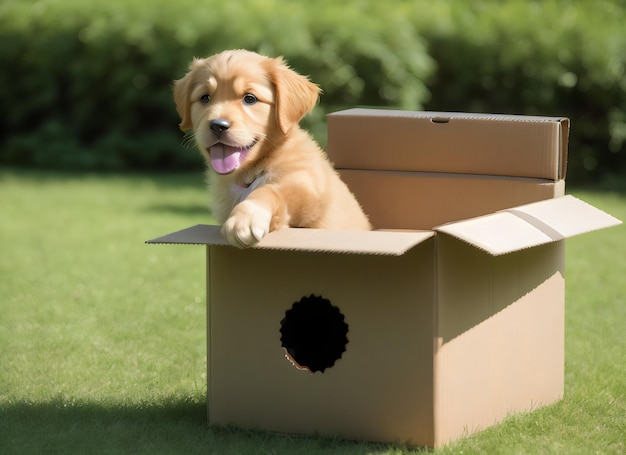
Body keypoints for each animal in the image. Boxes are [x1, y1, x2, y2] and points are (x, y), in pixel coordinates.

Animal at [172, 50, 370, 248]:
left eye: (250, 98)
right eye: (205, 98)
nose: (218, 126)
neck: (248, 174)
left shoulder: (306, 190)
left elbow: (270, 190)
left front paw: (245, 218)